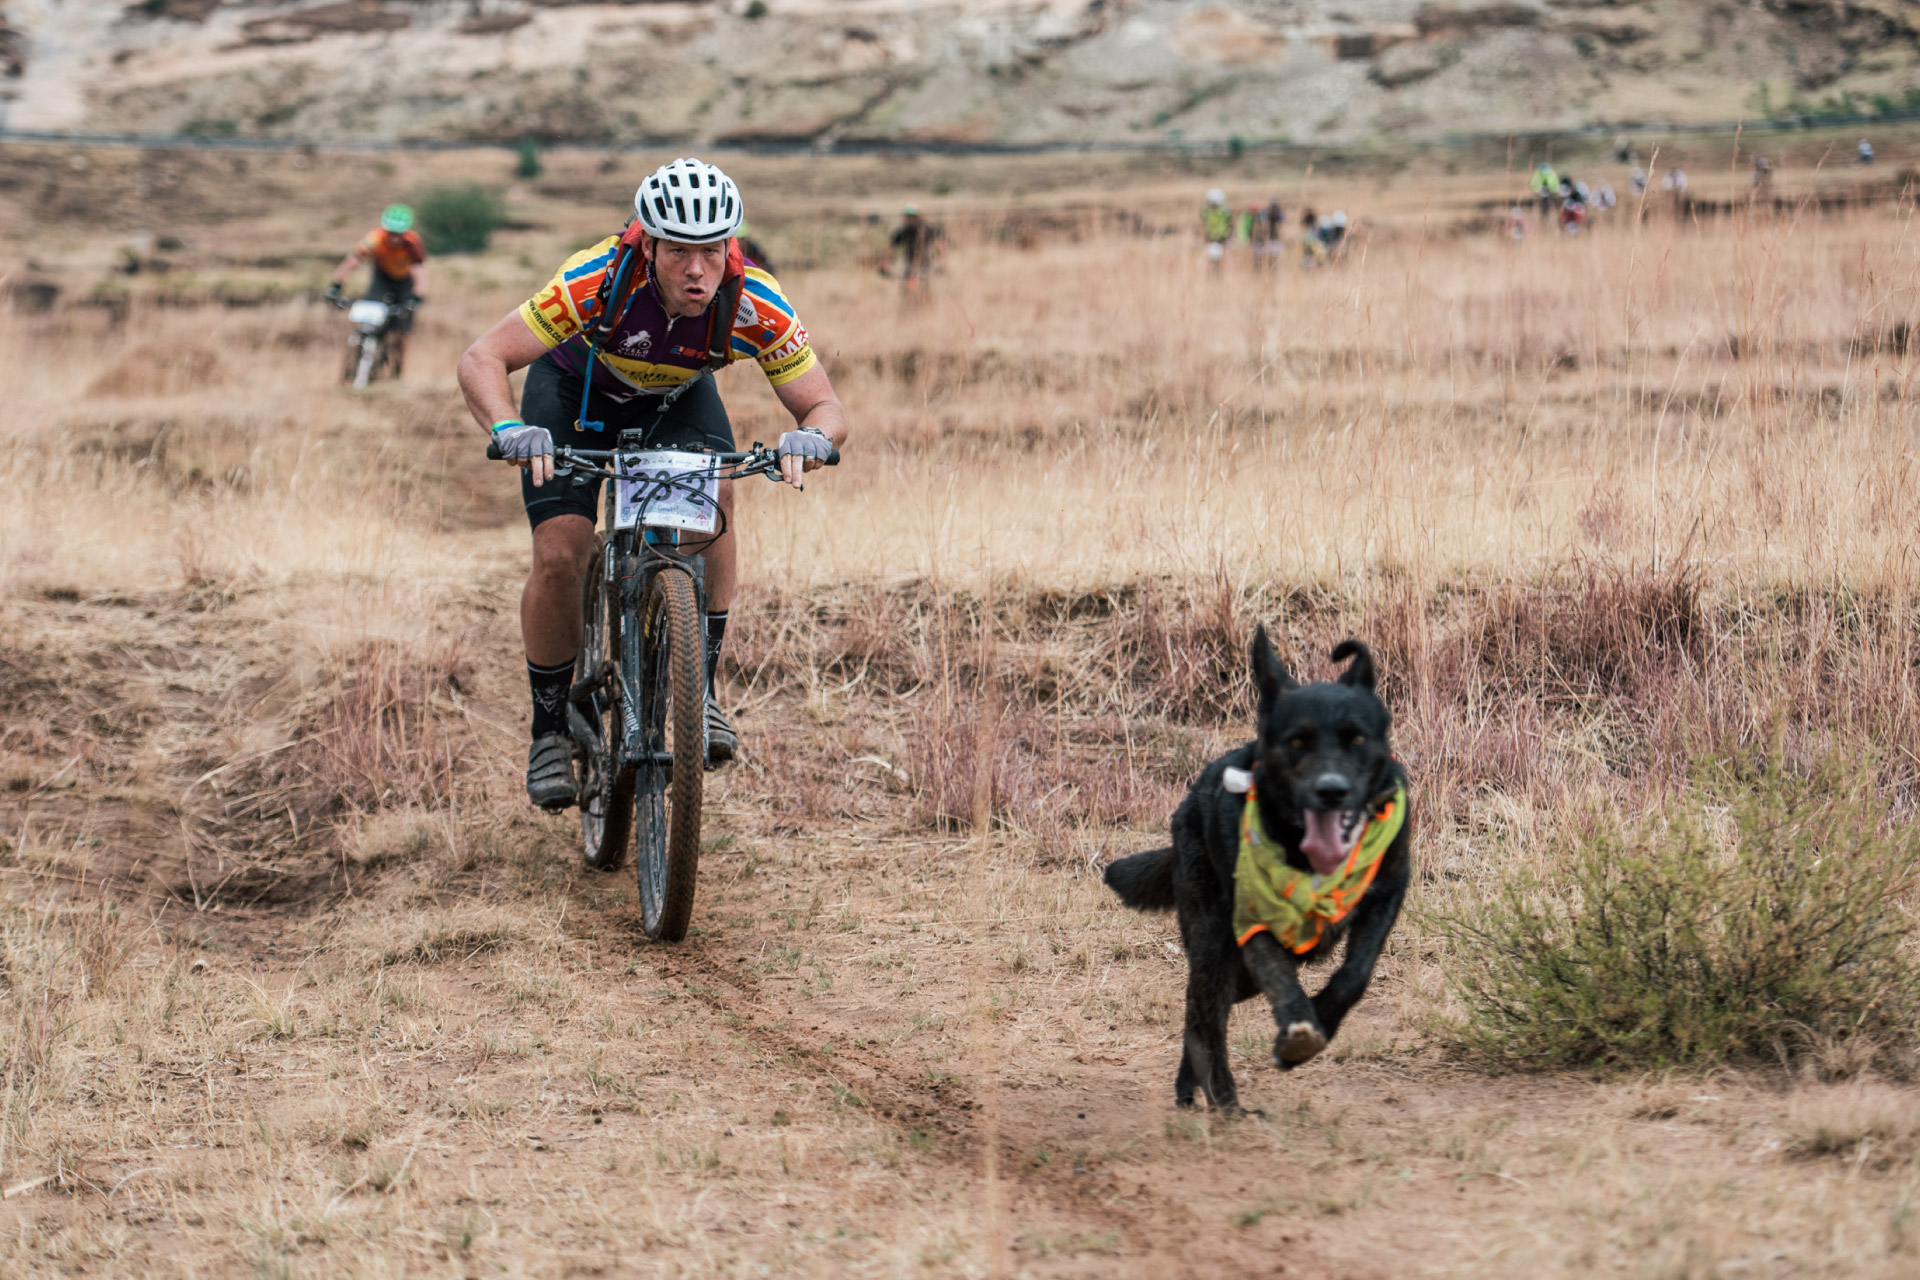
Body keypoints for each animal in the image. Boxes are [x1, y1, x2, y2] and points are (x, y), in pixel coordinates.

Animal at [1098, 629, 1413, 1113]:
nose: (1331, 791)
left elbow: (1356, 974)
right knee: (1207, 1017)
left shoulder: (1388, 890)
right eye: (1297, 741)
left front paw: (1321, 1018)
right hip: (1214, 944)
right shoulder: (1253, 921)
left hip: (1232, 967)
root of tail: (1188, 802)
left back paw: (1191, 1087)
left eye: (1357, 740)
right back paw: (1224, 1101)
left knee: (1199, 1007)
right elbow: (1280, 979)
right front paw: (1298, 1031)